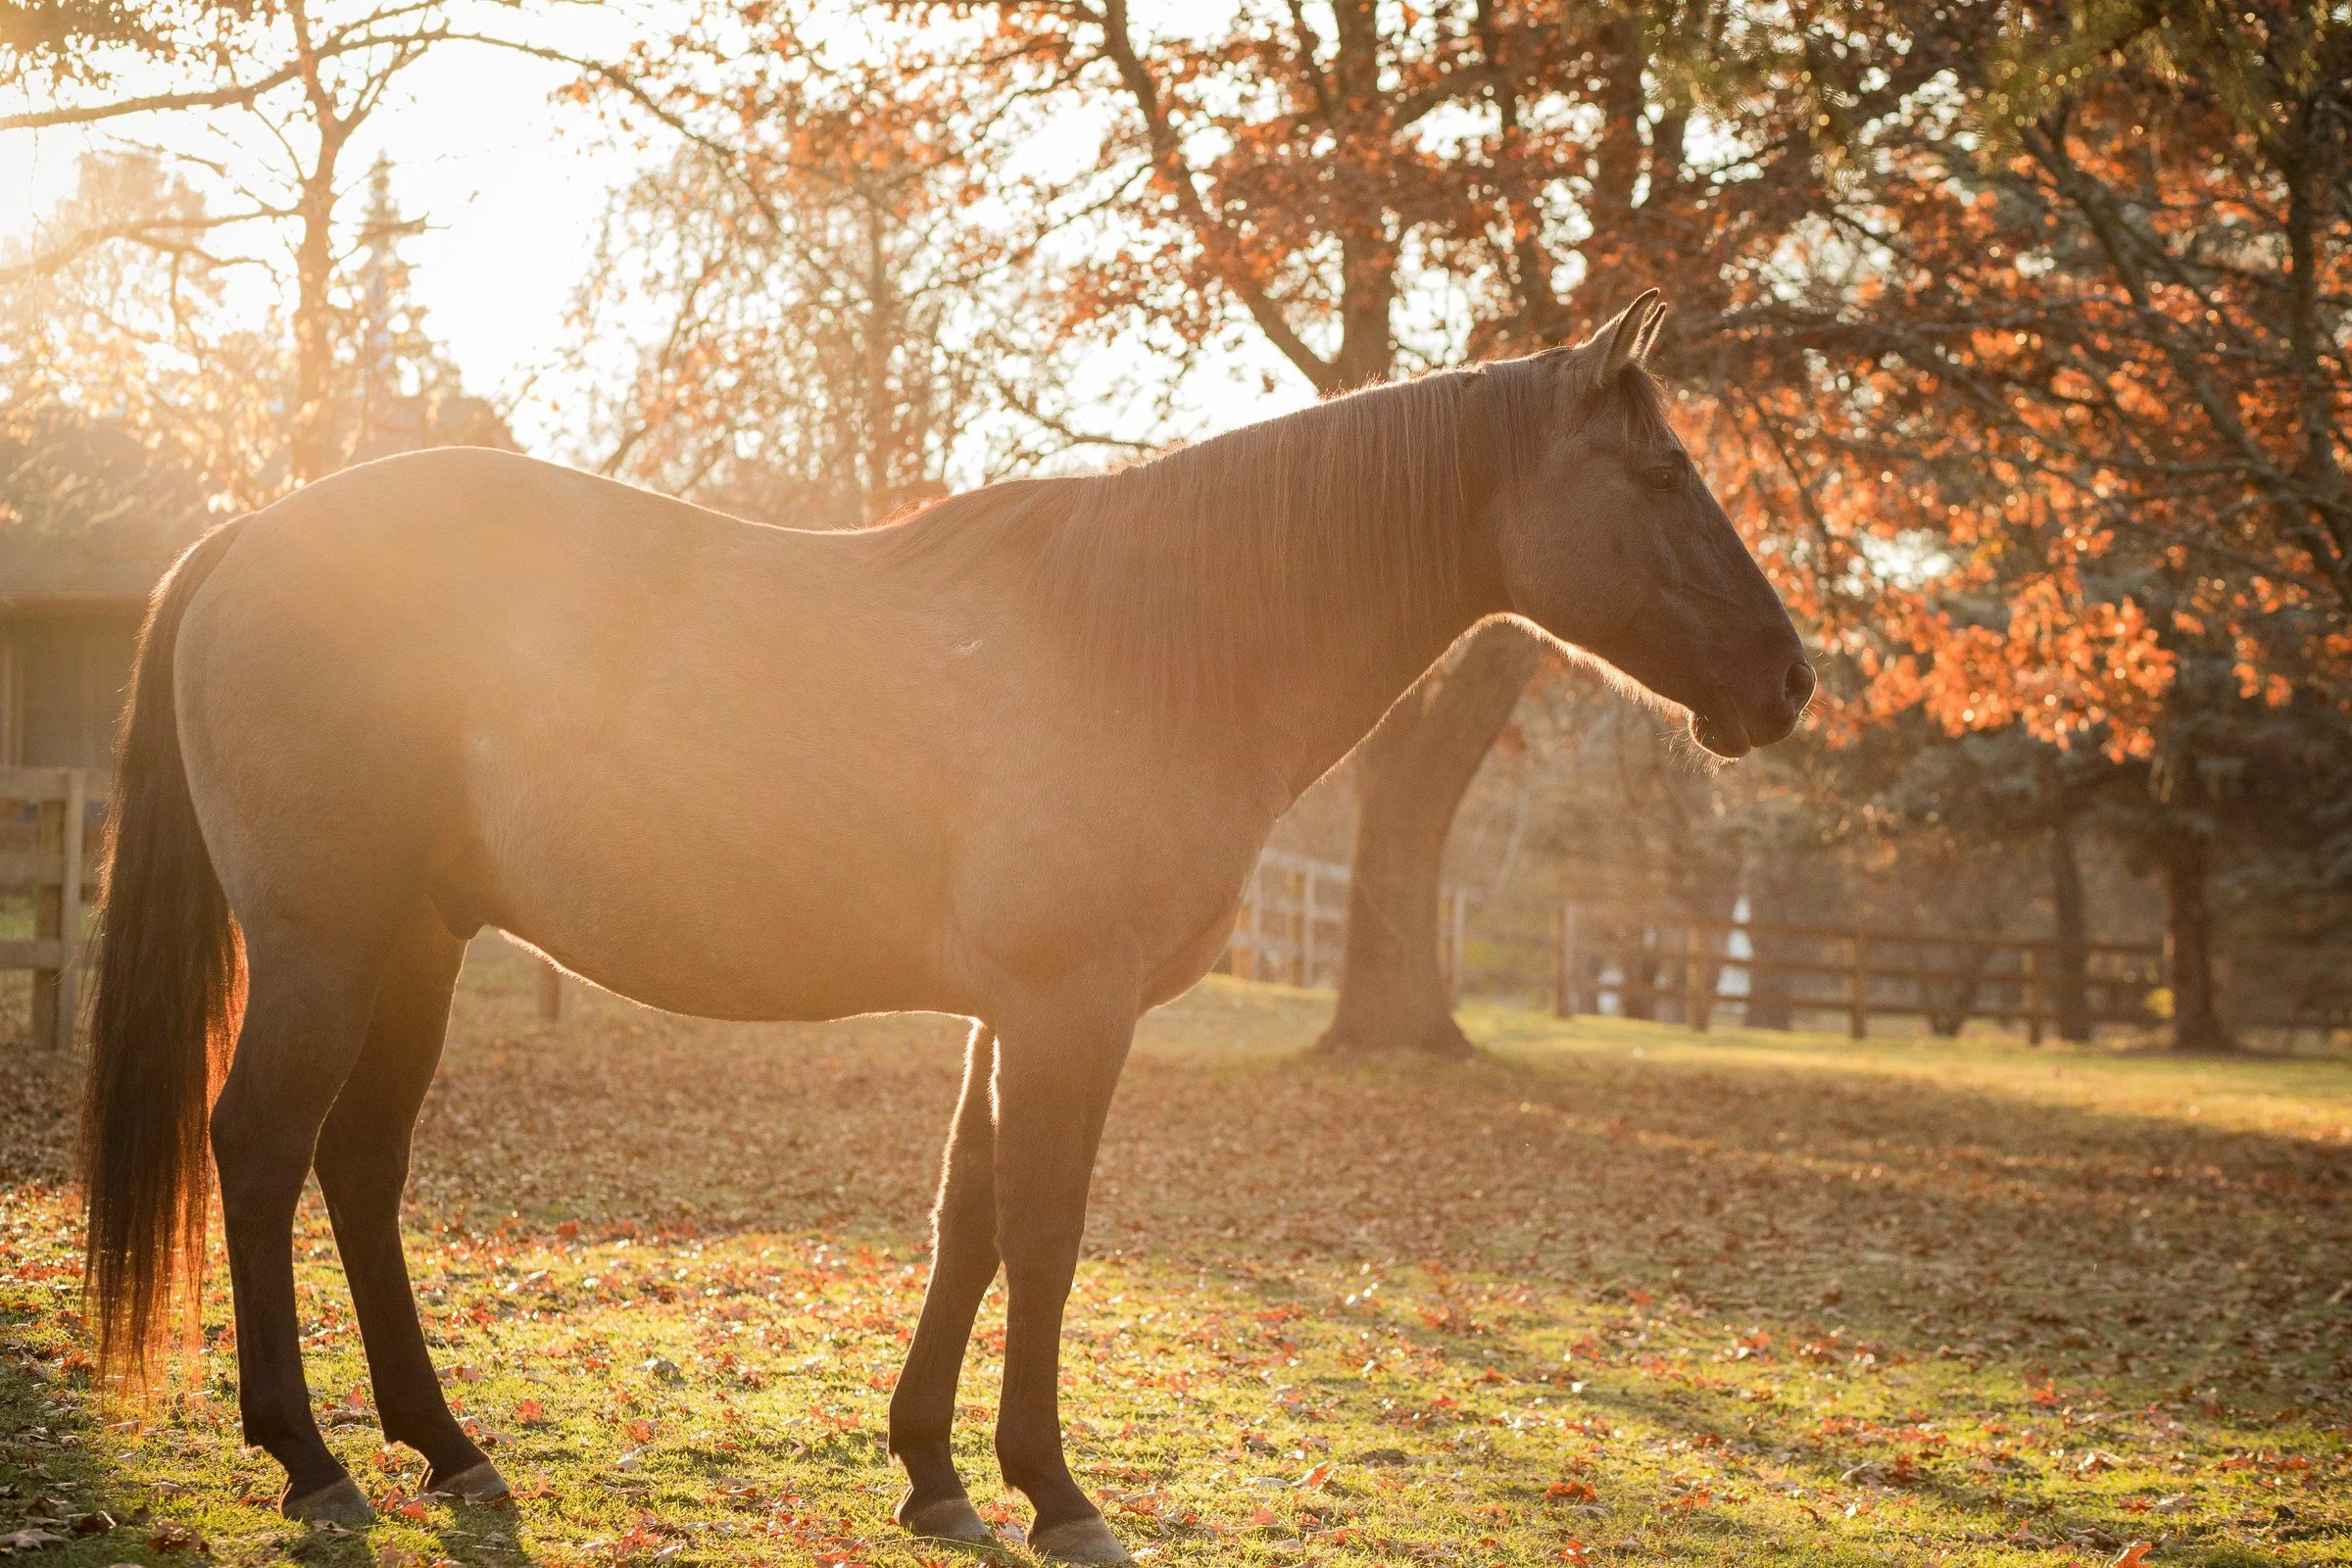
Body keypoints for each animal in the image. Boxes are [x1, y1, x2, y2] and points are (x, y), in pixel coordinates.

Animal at [80, 290, 1811, 1565]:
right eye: (1662, 479)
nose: (1788, 682)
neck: (1149, 643)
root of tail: (249, 537)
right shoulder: (1070, 1009)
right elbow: (1043, 1232)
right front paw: (1057, 1491)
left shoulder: (1014, 1014)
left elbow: (965, 1222)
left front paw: (931, 1469)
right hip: (328, 944)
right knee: (261, 1147)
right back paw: (311, 1461)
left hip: (420, 947)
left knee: (360, 1167)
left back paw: (448, 1450)